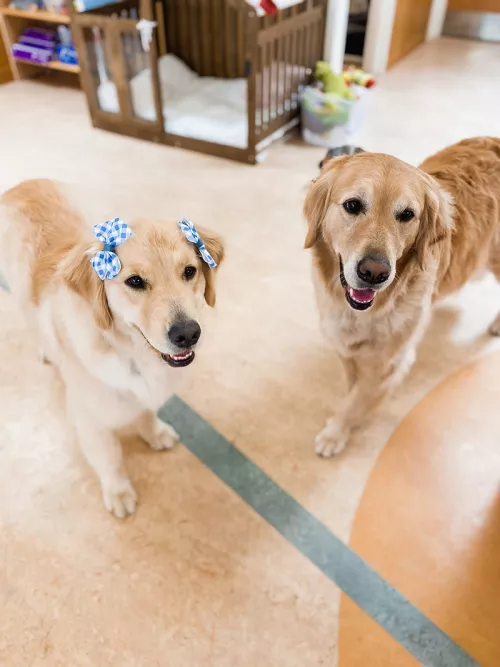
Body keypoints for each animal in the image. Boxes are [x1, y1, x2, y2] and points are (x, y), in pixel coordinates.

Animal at [0, 180, 224, 520]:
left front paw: (154, 432)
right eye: (135, 281)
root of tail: (23, 184)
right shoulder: (90, 419)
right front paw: (118, 492)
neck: (131, 351)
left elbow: (146, 411)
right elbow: (109, 459)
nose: (187, 334)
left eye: (189, 271)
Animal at [302, 137, 500, 460]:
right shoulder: (344, 345)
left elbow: (357, 399)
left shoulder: (388, 363)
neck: (364, 313)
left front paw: (336, 433)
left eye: (407, 214)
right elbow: (352, 387)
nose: (374, 273)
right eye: (353, 205)